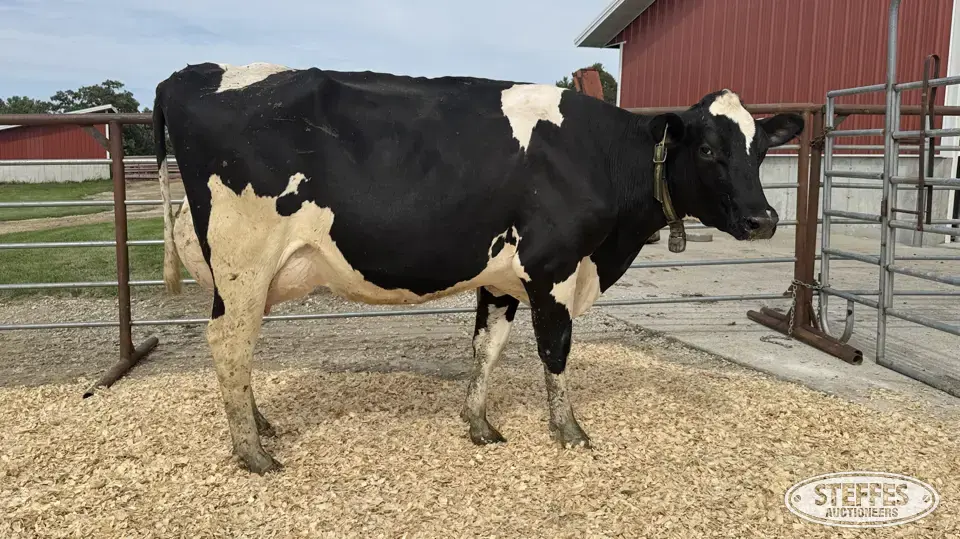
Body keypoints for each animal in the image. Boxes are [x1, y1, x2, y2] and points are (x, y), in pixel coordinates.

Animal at [152, 62, 803, 474]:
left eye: (761, 150)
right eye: (710, 150)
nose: (764, 219)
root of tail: (192, 73)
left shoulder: (502, 277)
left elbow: (486, 347)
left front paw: (479, 425)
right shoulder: (553, 267)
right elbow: (556, 352)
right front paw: (570, 432)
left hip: (239, 275)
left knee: (236, 349)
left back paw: (258, 424)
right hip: (245, 259)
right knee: (229, 341)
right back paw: (252, 454)